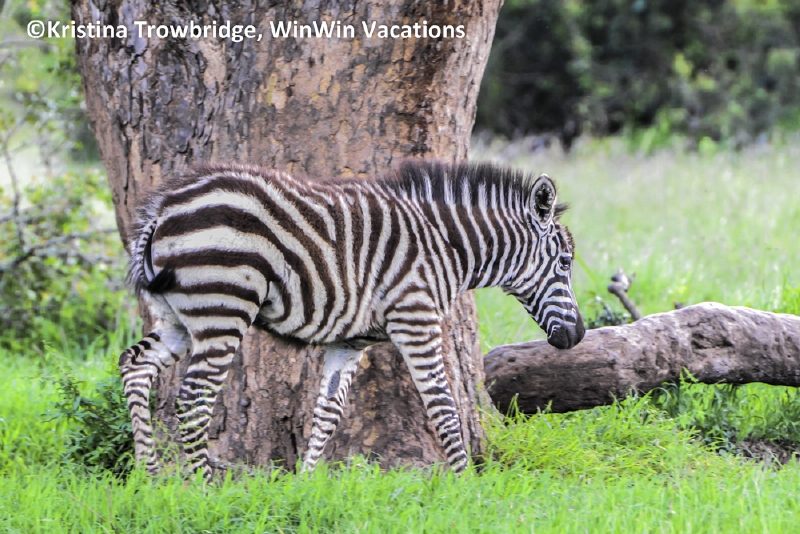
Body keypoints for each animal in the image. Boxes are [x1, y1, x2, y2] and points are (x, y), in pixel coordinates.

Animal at [119, 160, 585, 480]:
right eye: (565, 263)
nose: (578, 336)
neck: (446, 247)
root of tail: (162, 209)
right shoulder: (416, 320)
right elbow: (443, 407)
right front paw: (465, 485)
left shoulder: (349, 342)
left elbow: (327, 412)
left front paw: (304, 486)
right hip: (223, 308)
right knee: (193, 397)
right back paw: (203, 486)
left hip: (178, 318)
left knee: (134, 366)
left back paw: (150, 476)